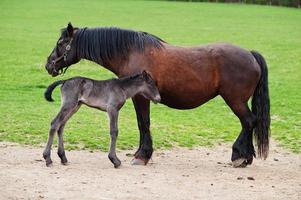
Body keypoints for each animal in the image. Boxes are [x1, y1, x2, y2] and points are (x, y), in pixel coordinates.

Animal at [44, 23, 270, 167]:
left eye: (61, 43)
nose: (48, 65)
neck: (131, 52)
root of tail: (250, 55)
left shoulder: (140, 98)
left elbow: (143, 124)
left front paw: (141, 156)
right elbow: (143, 124)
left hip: (235, 100)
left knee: (249, 122)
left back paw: (239, 156)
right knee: (249, 123)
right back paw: (246, 157)